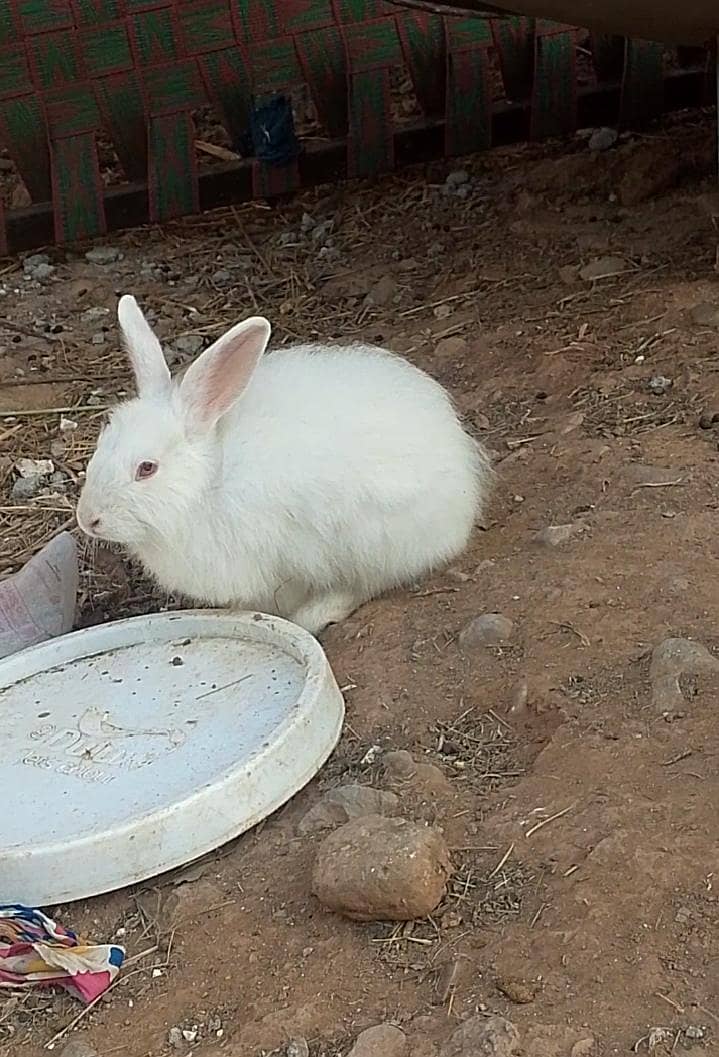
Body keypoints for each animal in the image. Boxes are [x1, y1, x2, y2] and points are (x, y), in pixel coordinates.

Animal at [76, 296, 492, 635]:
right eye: (100, 444)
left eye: (147, 468)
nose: (87, 520)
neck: (209, 482)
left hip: (372, 539)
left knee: (367, 582)